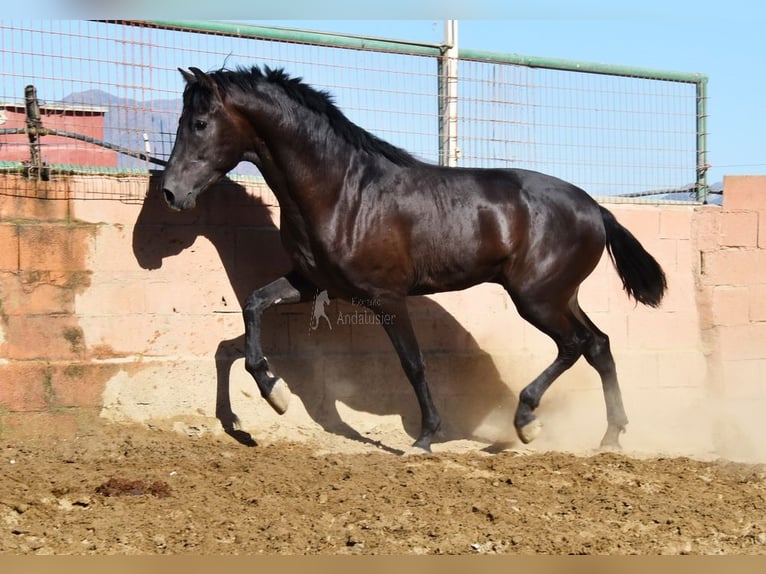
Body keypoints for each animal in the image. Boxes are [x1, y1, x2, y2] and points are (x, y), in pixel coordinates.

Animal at [160, 66, 664, 454]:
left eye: (199, 122)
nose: (170, 192)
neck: (342, 192)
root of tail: (593, 208)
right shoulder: (312, 282)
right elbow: (249, 311)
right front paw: (274, 393)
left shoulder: (385, 296)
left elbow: (414, 363)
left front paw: (423, 439)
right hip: (560, 295)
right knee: (598, 345)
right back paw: (610, 438)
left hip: (536, 298)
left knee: (574, 345)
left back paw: (526, 421)